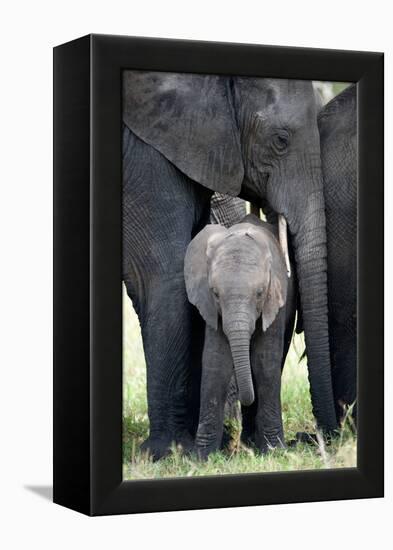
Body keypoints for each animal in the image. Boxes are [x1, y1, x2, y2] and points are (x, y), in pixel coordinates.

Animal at [184, 213, 294, 460]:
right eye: (215, 293)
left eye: (260, 293)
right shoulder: (211, 308)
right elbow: (216, 362)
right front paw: (201, 458)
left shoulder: (276, 299)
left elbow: (265, 363)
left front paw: (274, 452)